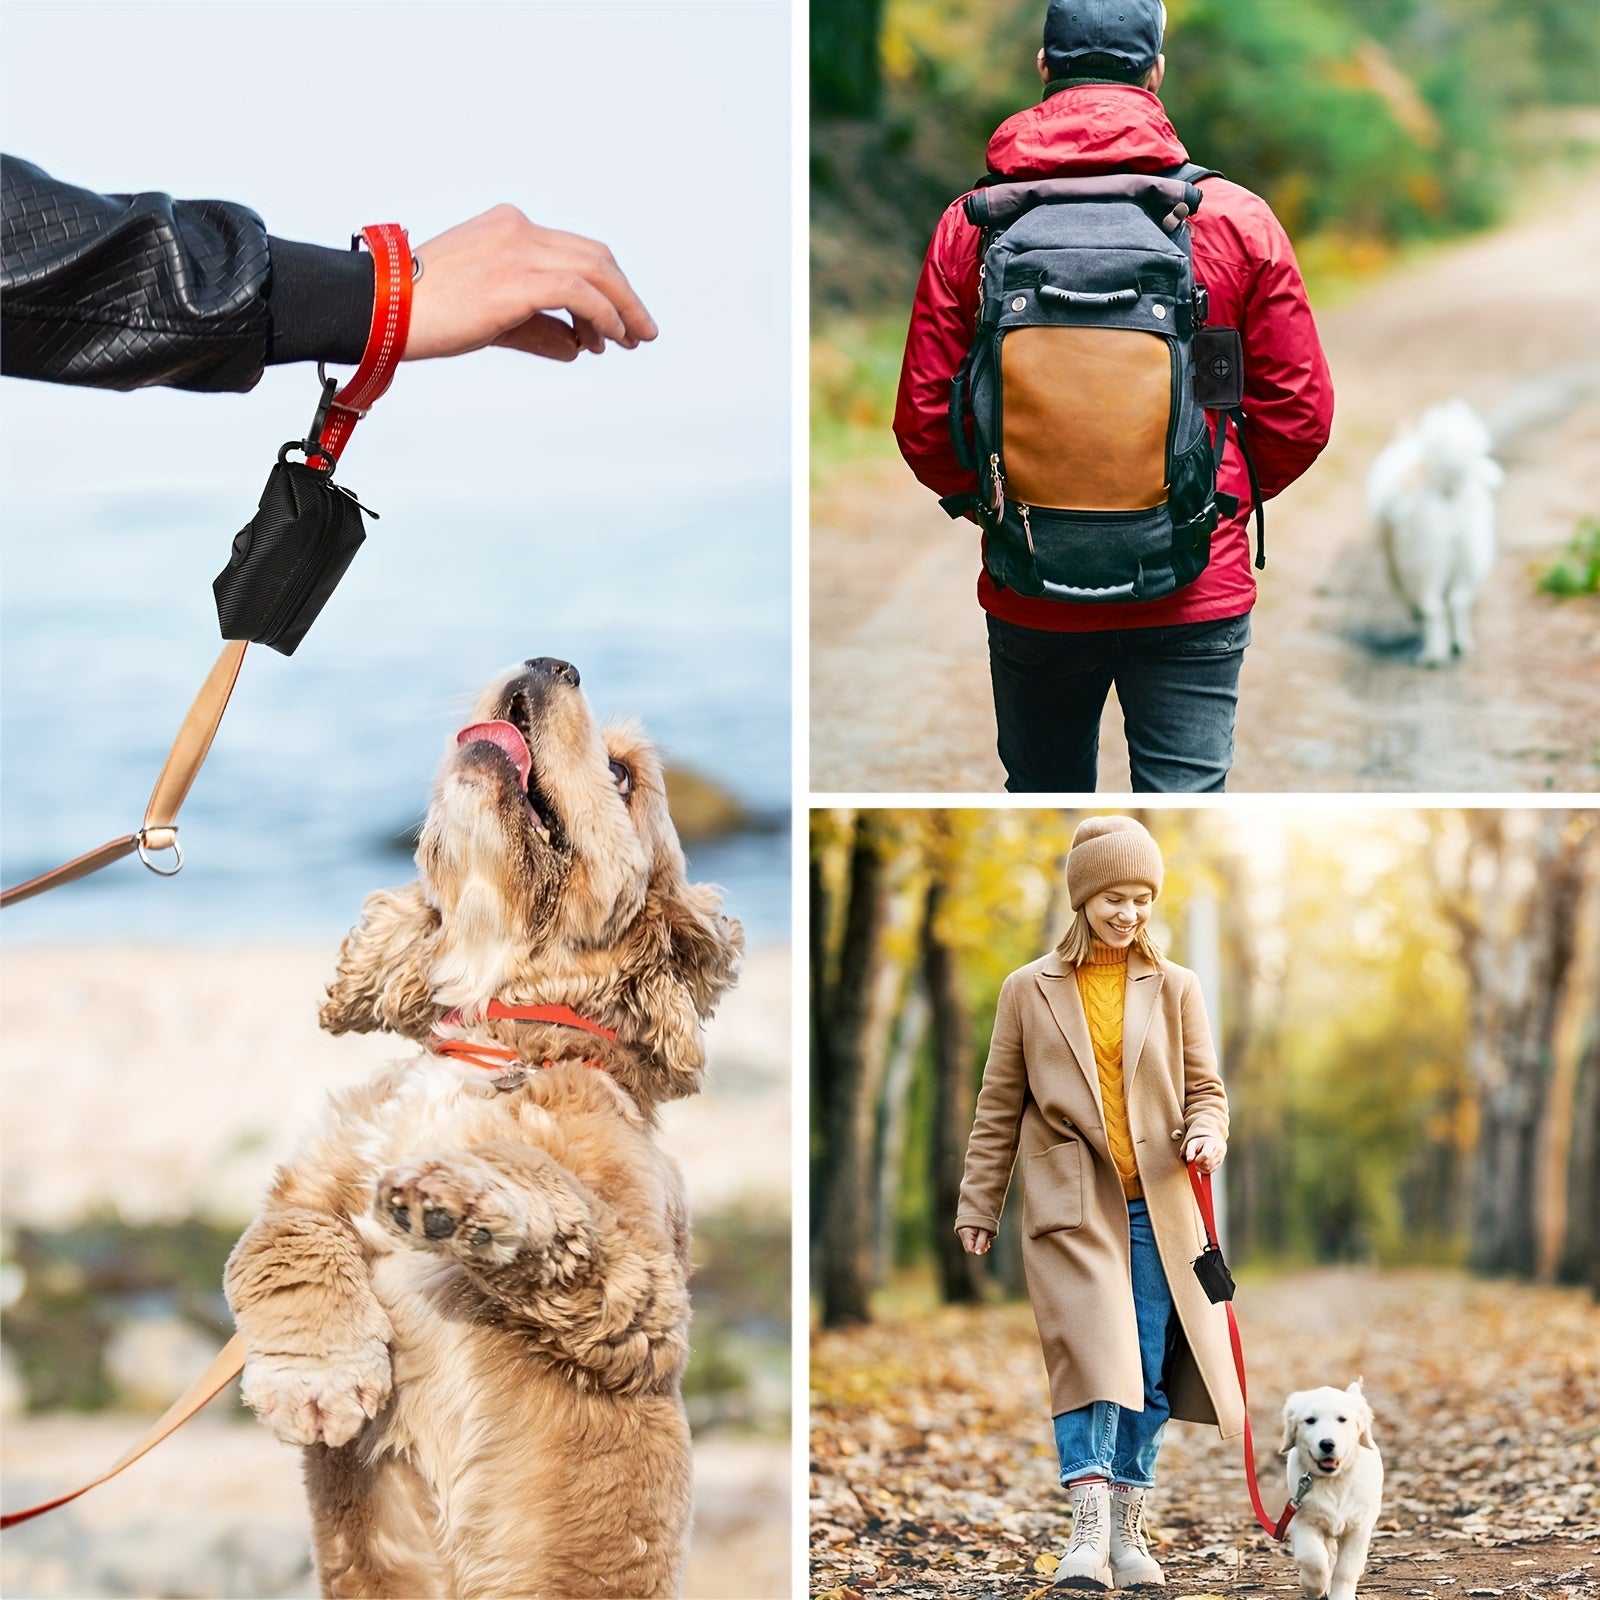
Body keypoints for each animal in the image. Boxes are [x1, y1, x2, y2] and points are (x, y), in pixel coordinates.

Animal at [224, 656, 742, 1593]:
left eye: (622, 775)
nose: (551, 662)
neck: (489, 1044)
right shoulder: (311, 1183)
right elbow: (281, 1249)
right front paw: (316, 1382)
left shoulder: (647, 1301)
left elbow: (563, 1208)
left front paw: (460, 1197)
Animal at [1280, 1376, 1382, 1600]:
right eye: (1310, 1420)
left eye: (1342, 1419)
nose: (1327, 1443)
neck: (1333, 1480)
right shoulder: (1302, 1520)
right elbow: (1314, 1558)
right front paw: (1314, 1586)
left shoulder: (1358, 1528)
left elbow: (1346, 1569)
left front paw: (1340, 1594)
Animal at [1369, 403, 1504, 672]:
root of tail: (1446, 484)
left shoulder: (1398, 570)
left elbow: (1419, 612)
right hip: (1469, 558)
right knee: (1458, 602)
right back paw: (1460, 645)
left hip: (1423, 568)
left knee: (1433, 607)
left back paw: (1431, 655)